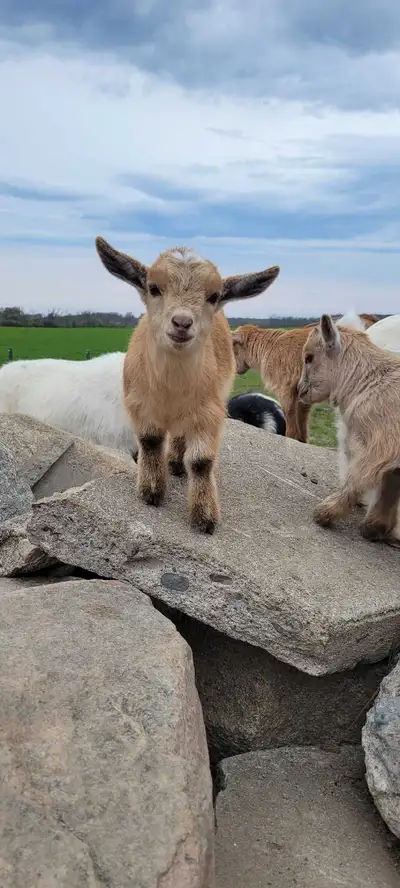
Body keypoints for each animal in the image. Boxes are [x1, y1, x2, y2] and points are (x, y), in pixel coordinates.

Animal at [95, 237, 280, 533]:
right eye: (154, 288)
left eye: (213, 296)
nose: (182, 323)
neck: (171, 389)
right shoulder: (139, 404)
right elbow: (149, 442)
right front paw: (151, 492)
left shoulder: (210, 412)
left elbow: (202, 461)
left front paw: (204, 516)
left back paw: (175, 461)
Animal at [298, 315, 400, 546]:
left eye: (309, 357)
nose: (300, 391)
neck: (368, 380)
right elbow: (390, 482)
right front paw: (375, 528)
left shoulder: (381, 441)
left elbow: (359, 475)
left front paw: (325, 513)